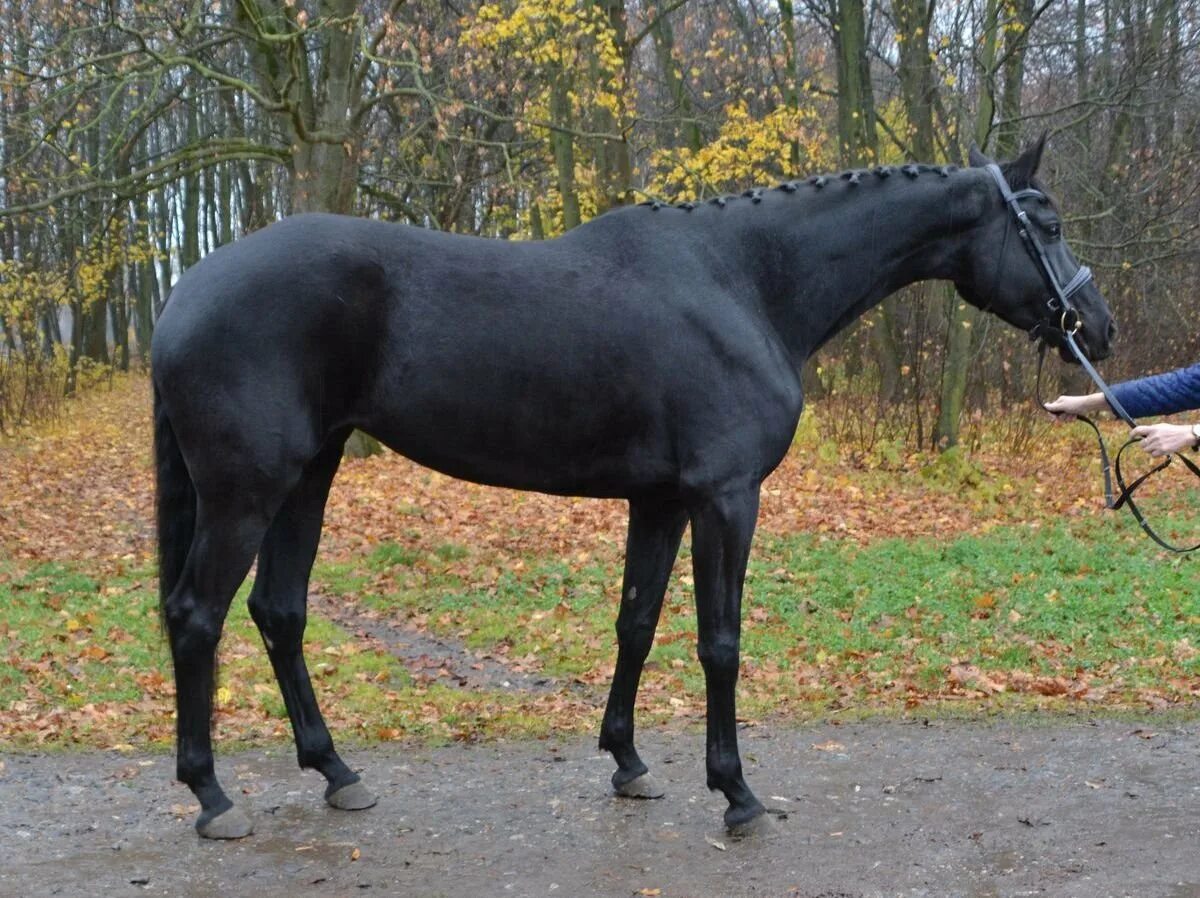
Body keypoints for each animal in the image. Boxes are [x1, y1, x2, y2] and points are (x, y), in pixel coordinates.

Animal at [150, 136, 1113, 840]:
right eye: (1047, 224)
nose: (1096, 326)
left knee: (279, 612)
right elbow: (719, 643)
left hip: (309, 475)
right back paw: (212, 797)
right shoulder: (725, 497)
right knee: (198, 616)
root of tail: (184, 293)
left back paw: (336, 772)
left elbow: (637, 625)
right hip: (248, 490)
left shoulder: (660, 501)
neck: (743, 282)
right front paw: (737, 795)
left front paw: (628, 764)